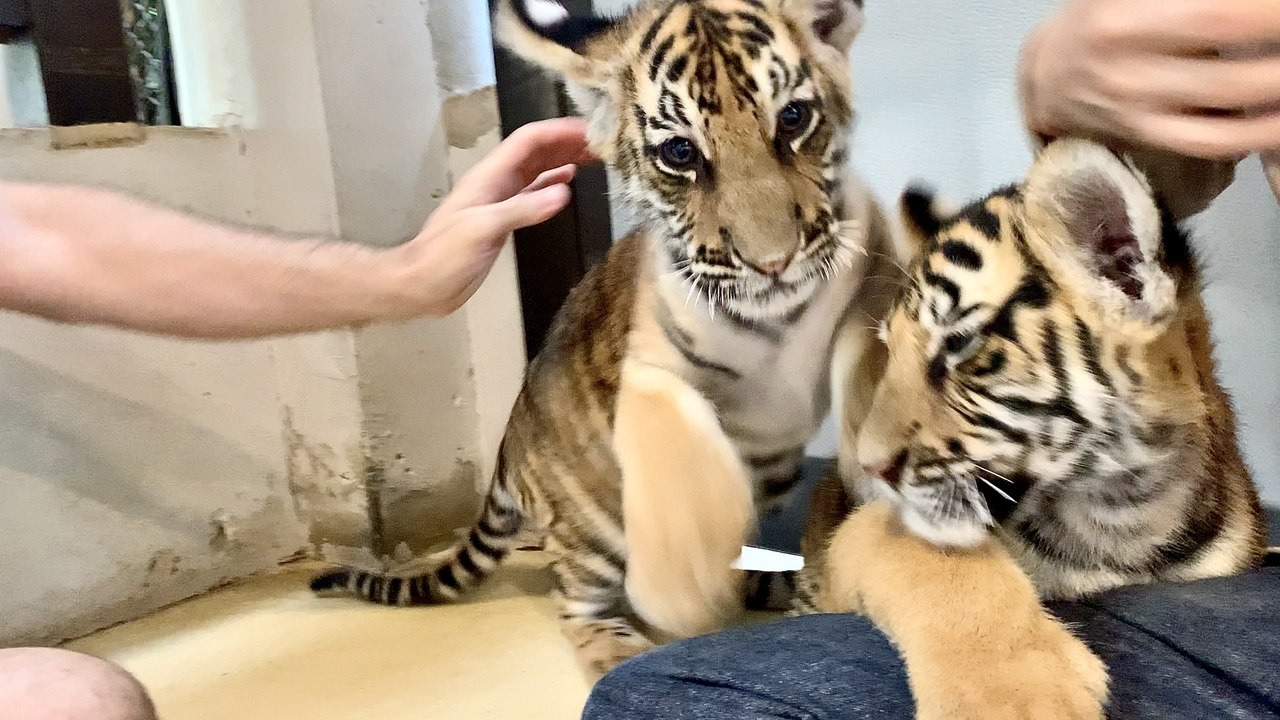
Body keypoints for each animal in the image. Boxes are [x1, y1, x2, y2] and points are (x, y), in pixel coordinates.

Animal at [310, 0, 900, 678]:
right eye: (680, 153)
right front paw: (682, 595)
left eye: (795, 119)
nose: (772, 262)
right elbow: (676, 434)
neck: (783, 318)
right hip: (592, 529)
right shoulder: (652, 364)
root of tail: (509, 450)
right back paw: (626, 646)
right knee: (576, 602)